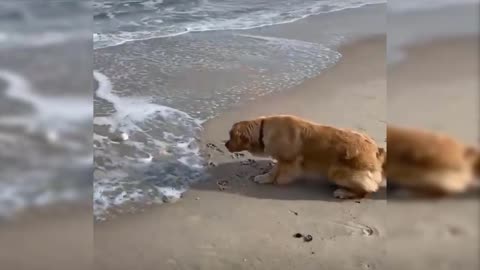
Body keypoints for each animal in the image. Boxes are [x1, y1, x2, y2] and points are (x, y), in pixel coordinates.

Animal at [225, 115, 386, 199]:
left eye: (231, 136)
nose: (225, 144)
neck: (264, 130)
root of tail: (377, 151)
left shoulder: (288, 160)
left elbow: (277, 171)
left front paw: (269, 178)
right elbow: (275, 169)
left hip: (336, 172)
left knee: (368, 190)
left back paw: (343, 192)